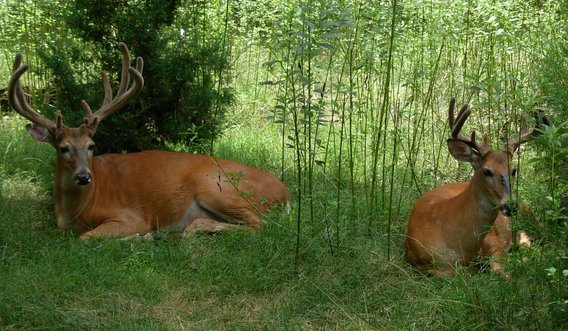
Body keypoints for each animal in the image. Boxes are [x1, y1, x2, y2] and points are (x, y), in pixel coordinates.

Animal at [8, 42, 290, 240]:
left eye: (91, 146)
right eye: (63, 148)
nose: (84, 177)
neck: (74, 211)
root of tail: (285, 194)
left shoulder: (129, 216)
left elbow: (85, 238)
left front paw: (143, 236)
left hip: (218, 187)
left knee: (262, 224)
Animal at [404, 98, 544, 278]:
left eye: (513, 170)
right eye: (486, 171)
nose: (510, 205)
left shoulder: (492, 240)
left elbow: (502, 270)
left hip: (529, 215)